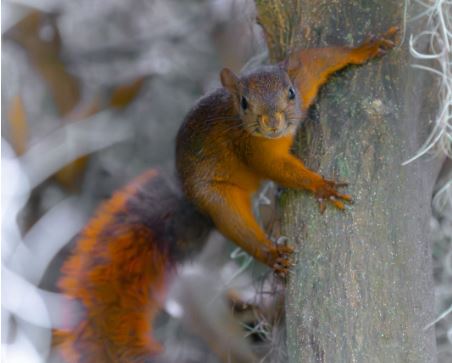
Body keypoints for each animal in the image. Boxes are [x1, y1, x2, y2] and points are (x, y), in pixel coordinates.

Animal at [54, 26, 398, 363]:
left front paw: (365, 47)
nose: (271, 122)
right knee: (238, 228)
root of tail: (193, 204)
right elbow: (279, 169)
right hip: (217, 201)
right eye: (245, 103)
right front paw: (320, 185)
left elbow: (319, 58)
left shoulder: (304, 78)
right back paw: (270, 253)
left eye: (290, 93)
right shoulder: (253, 149)